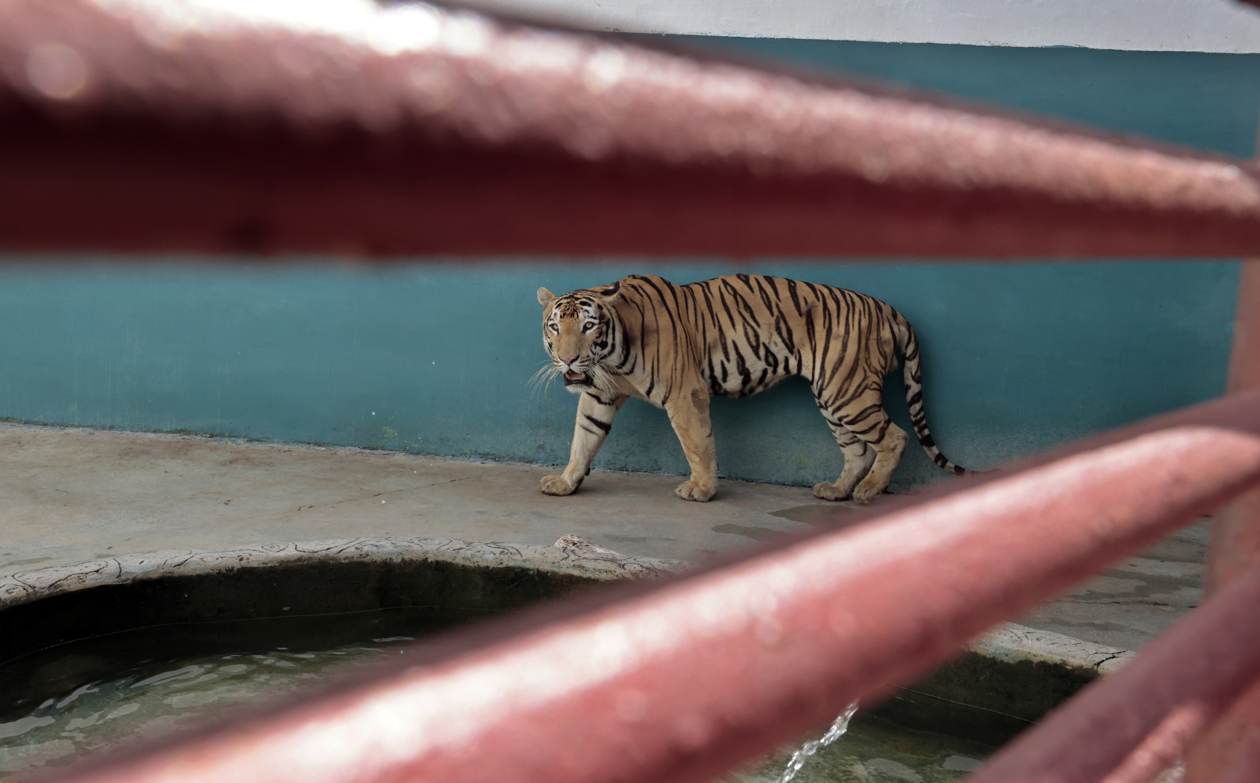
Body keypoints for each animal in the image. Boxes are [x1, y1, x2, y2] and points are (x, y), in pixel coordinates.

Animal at [536, 274, 973, 504]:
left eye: (588, 326)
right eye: (555, 327)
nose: (569, 360)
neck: (611, 353)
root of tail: (885, 307)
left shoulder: (685, 394)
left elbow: (698, 444)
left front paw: (702, 489)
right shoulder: (598, 395)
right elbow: (583, 440)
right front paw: (566, 482)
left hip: (849, 393)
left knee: (895, 437)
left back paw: (867, 491)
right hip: (834, 396)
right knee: (859, 450)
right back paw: (836, 490)